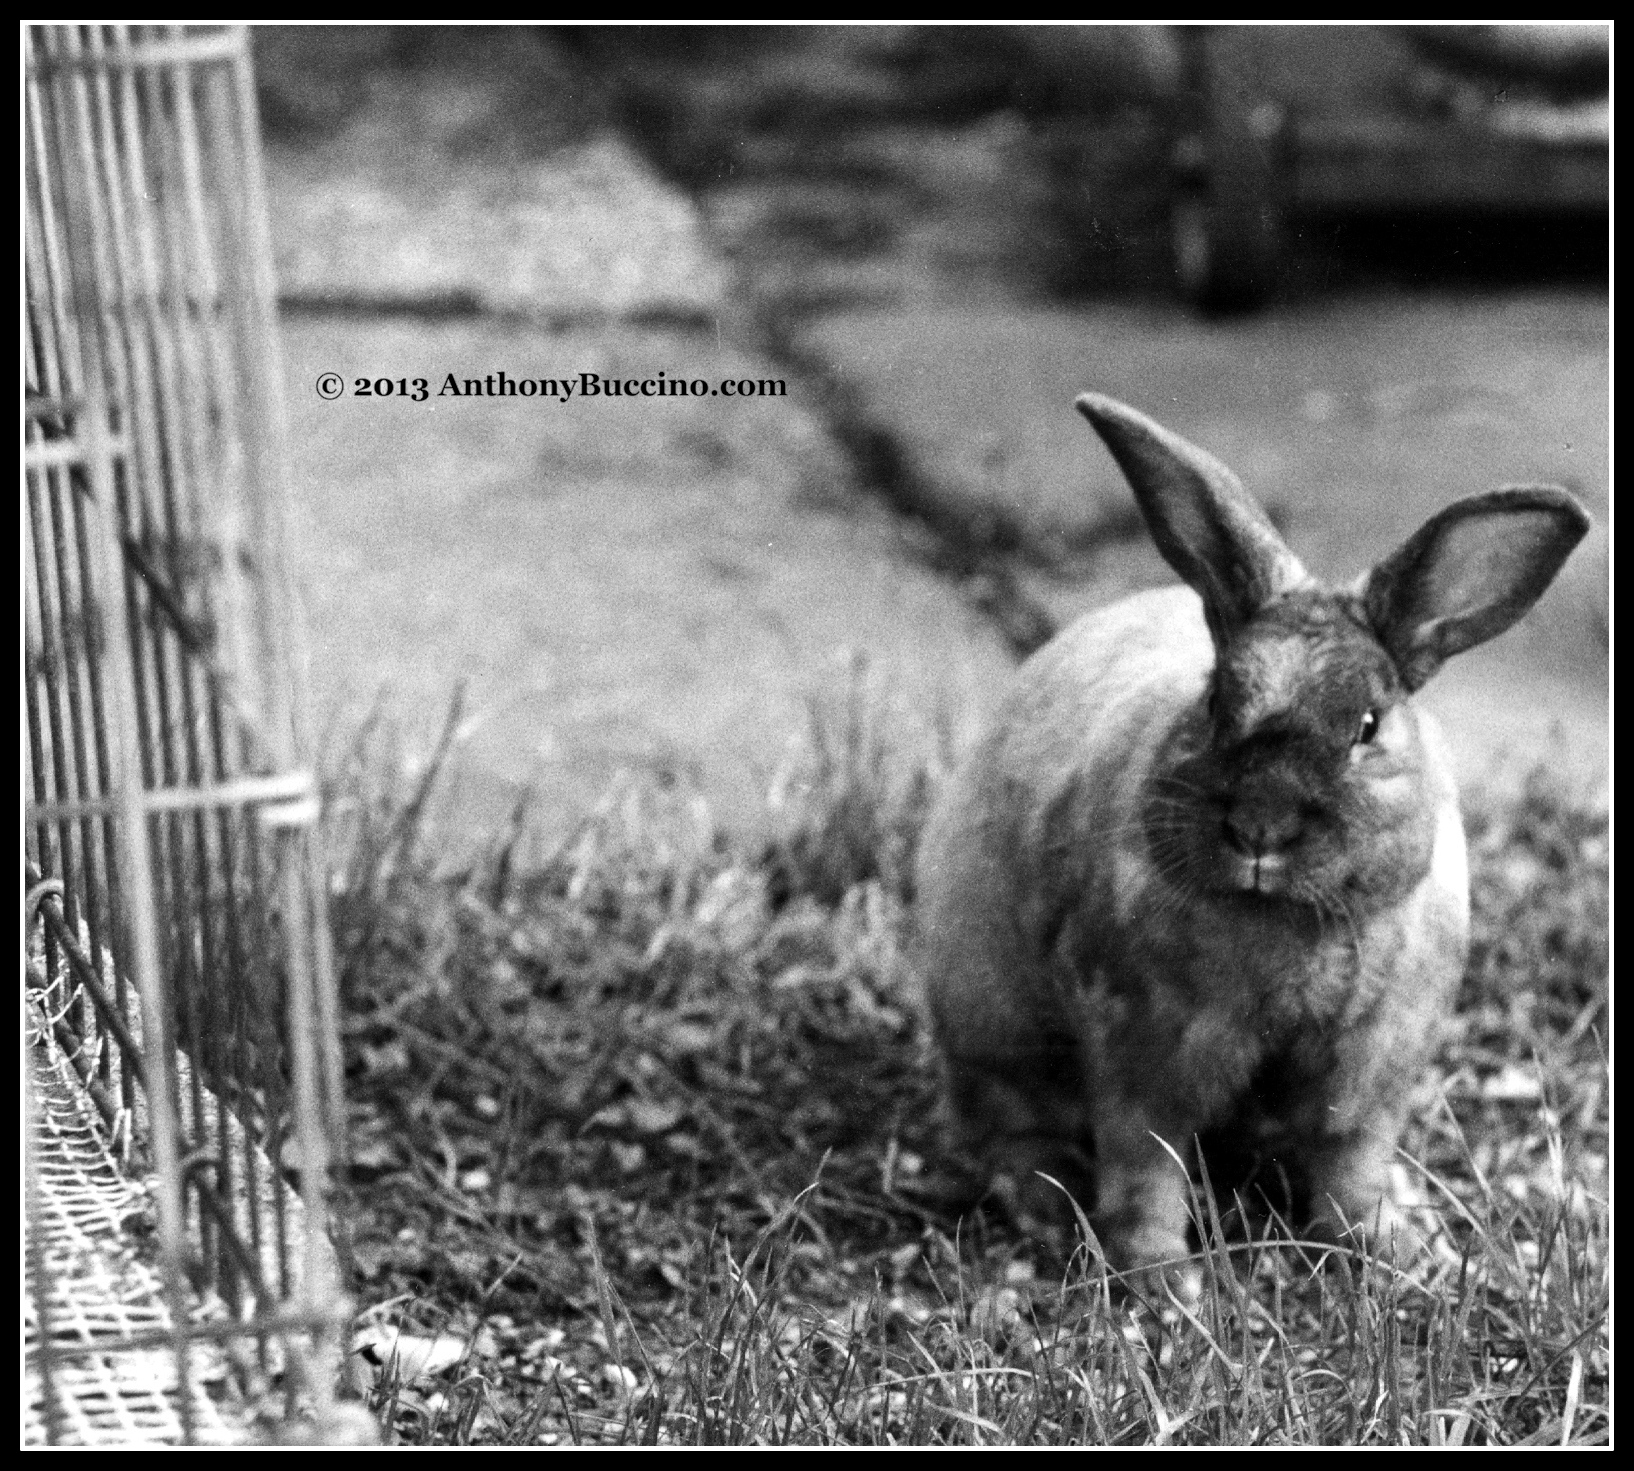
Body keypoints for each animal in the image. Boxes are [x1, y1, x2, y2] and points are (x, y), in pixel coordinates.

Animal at [921, 390, 1594, 1301]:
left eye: (1368, 726)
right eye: (1214, 702)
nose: (1260, 827)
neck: (1290, 919)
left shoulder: (1373, 1067)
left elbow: (1350, 1162)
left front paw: (1384, 1249)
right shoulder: (1145, 1051)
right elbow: (1145, 1165)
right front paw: (1162, 1279)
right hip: (992, 1024)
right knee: (1009, 1123)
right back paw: (1045, 1198)